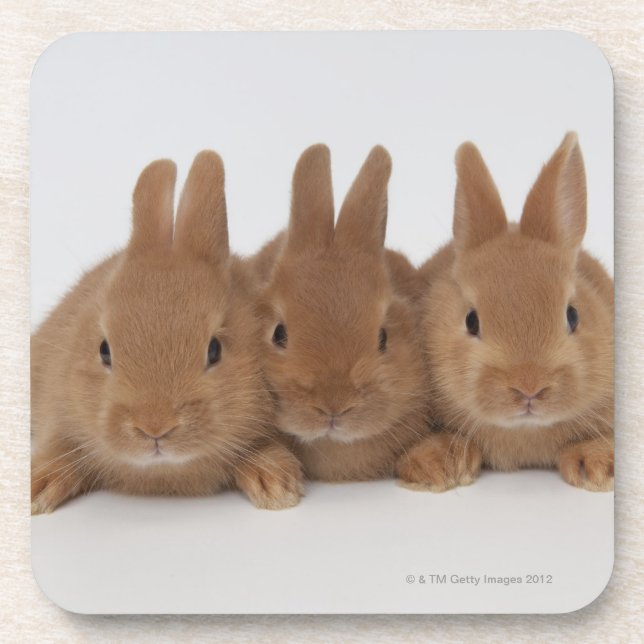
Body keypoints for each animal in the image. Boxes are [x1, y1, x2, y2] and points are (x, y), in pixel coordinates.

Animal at [31, 150, 304, 514]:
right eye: (104, 350)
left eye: (214, 350)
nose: (155, 427)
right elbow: (59, 447)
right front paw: (36, 489)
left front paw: (276, 486)